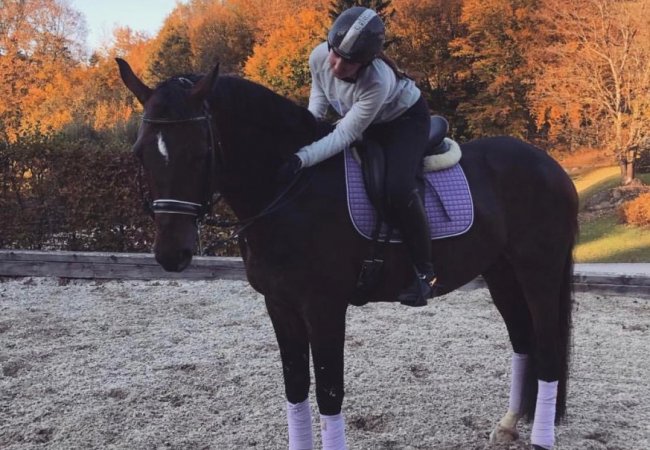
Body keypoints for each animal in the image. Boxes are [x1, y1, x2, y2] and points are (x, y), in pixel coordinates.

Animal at [117, 58, 578, 450]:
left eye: (200, 151)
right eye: (140, 152)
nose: (171, 253)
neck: (289, 190)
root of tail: (551, 166)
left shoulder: (323, 307)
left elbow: (329, 392)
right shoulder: (279, 305)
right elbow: (296, 388)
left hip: (538, 272)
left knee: (547, 349)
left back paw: (541, 438)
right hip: (502, 273)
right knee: (524, 342)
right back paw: (510, 424)